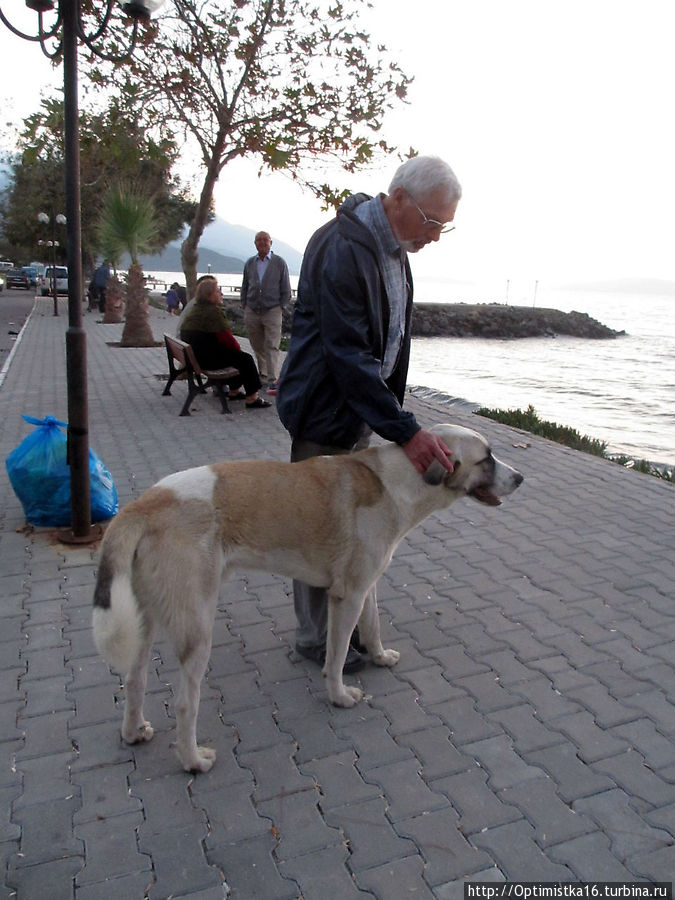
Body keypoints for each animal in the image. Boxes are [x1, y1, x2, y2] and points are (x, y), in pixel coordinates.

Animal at [92, 424, 524, 772]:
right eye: (486, 458)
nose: (520, 477)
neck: (400, 481)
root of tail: (145, 503)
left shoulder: (366, 586)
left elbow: (373, 625)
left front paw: (379, 656)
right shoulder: (346, 596)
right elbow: (336, 655)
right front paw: (339, 695)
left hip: (145, 622)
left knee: (133, 678)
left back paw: (133, 732)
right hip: (196, 628)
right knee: (185, 703)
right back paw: (193, 760)